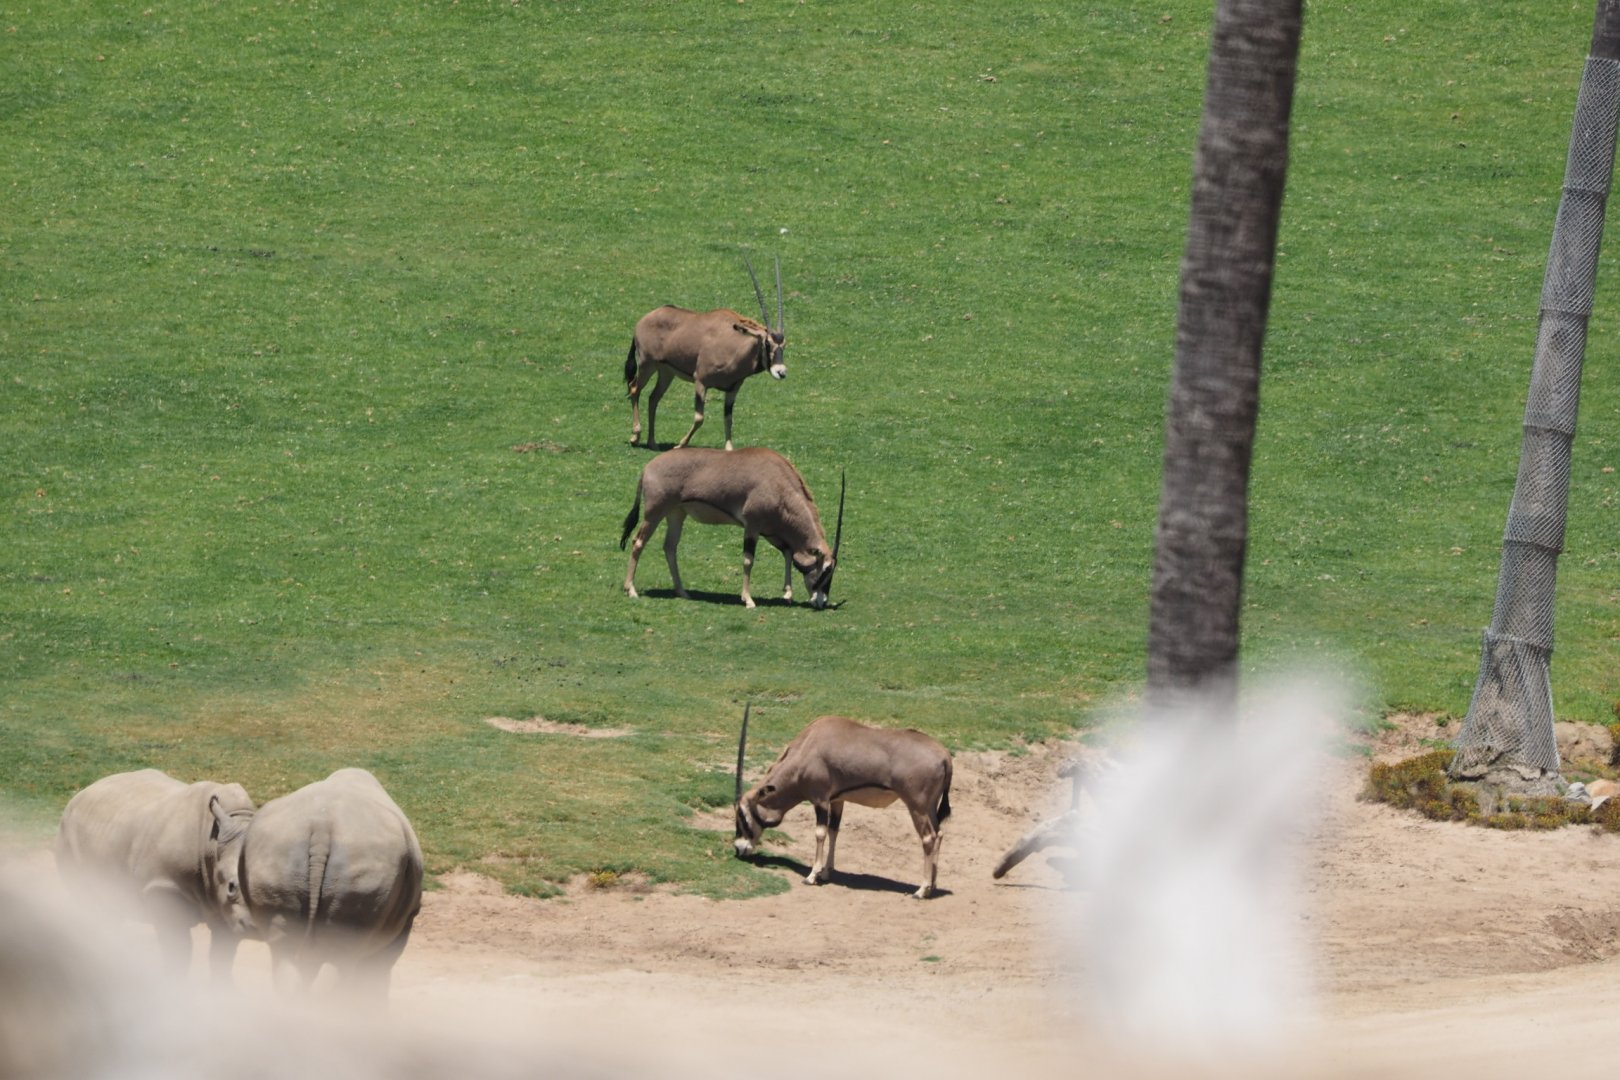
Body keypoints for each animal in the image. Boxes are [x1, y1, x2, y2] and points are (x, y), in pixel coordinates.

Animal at [54, 768, 257, 980]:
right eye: (231, 887)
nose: (257, 926)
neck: (211, 846)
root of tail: (83, 791)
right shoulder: (162, 887)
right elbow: (179, 951)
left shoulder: (224, 908)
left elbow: (222, 959)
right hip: (67, 835)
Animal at [240, 767, 423, 1002]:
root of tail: (322, 827)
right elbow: (377, 975)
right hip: (363, 865)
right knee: (338, 960)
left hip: (276, 853)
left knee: (285, 950)